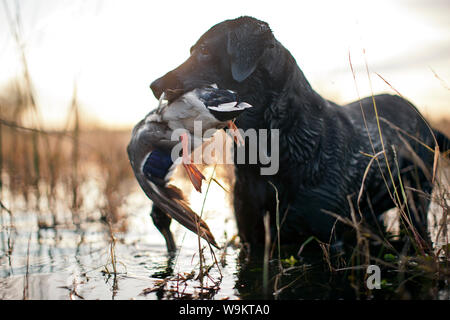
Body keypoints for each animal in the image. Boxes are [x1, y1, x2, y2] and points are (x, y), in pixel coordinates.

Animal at [149, 15, 448, 250]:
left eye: (204, 51)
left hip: (416, 197)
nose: (154, 85)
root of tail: (423, 118)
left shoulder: (328, 236)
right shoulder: (251, 233)